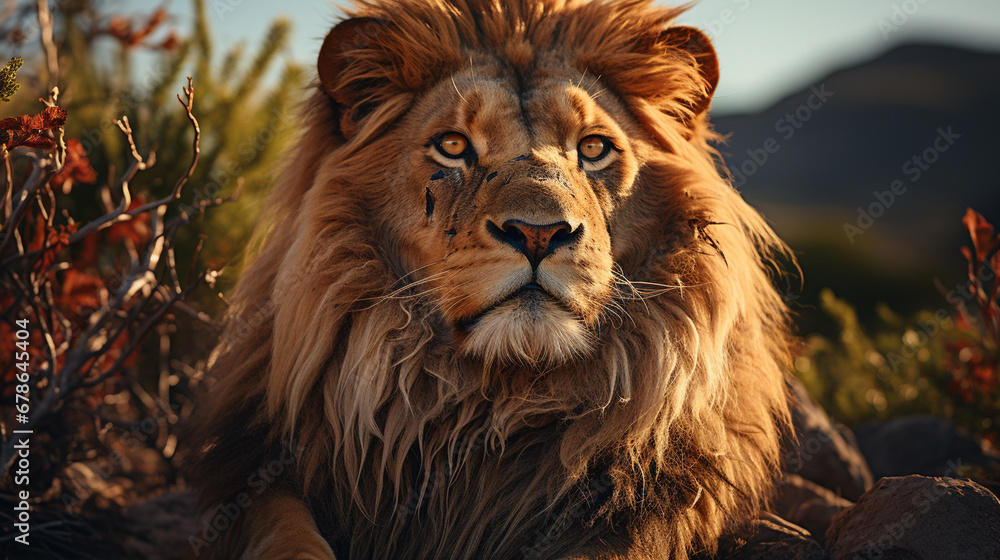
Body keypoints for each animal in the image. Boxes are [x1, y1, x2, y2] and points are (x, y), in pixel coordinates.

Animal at [189, 1, 796, 560]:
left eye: (594, 148)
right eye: (453, 145)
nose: (538, 233)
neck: (493, 402)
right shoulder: (254, 474)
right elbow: (284, 535)